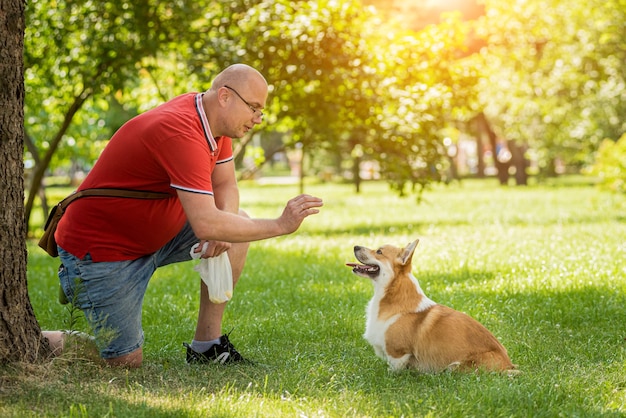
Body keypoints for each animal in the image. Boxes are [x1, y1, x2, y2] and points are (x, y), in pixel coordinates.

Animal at [344, 240, 516, 374]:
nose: (355, 246)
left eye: (379, 251)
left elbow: (394, 369)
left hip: (455, 367)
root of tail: (508, 365)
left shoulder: (398, 353)